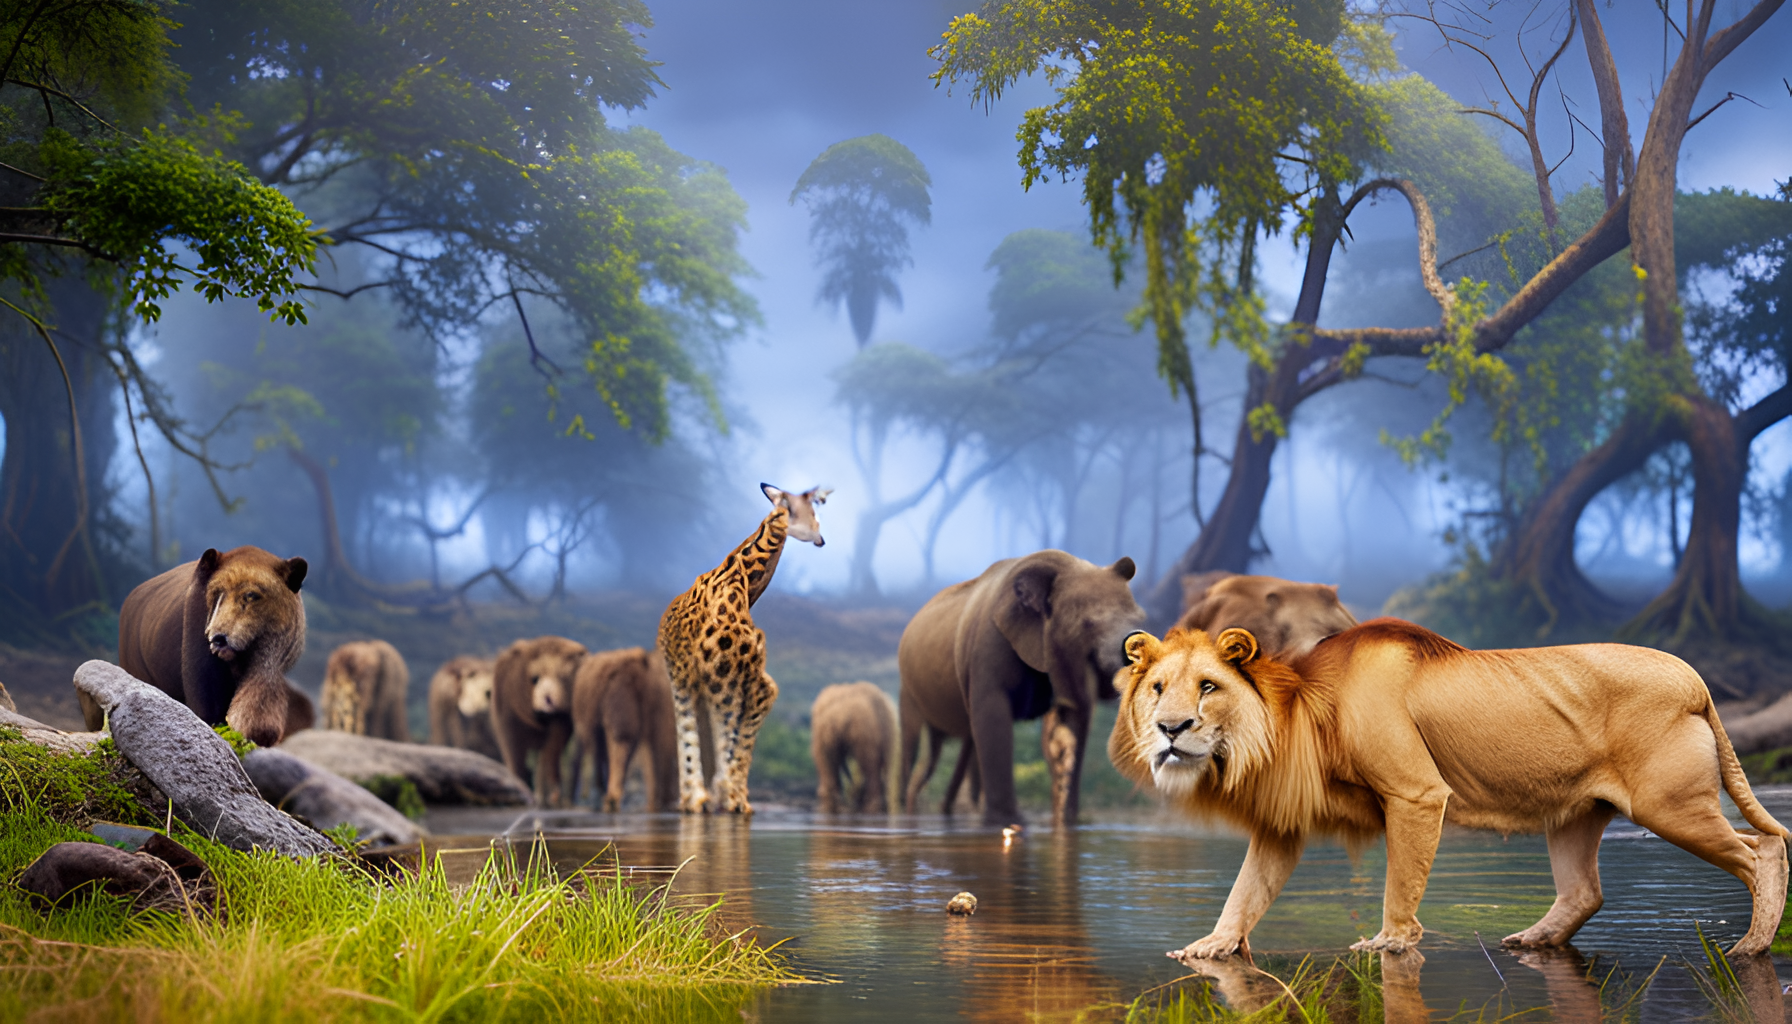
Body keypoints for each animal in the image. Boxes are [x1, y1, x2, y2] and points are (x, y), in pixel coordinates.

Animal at [1112, 618, 1790, 960]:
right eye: (1157, 689)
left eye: (1208, 687)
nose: (1171, 729)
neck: (1304, 717)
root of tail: (1694, 678)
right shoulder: (1282, 827)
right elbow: (1246, 892)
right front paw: (1214, 946)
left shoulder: (1416, 794)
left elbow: (1400, 880)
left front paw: (1390, 940)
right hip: (1574, 811)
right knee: (1585, 892)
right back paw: (1536, 939)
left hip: (1669, 805)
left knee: (1763, 849)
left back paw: (1752, 947)